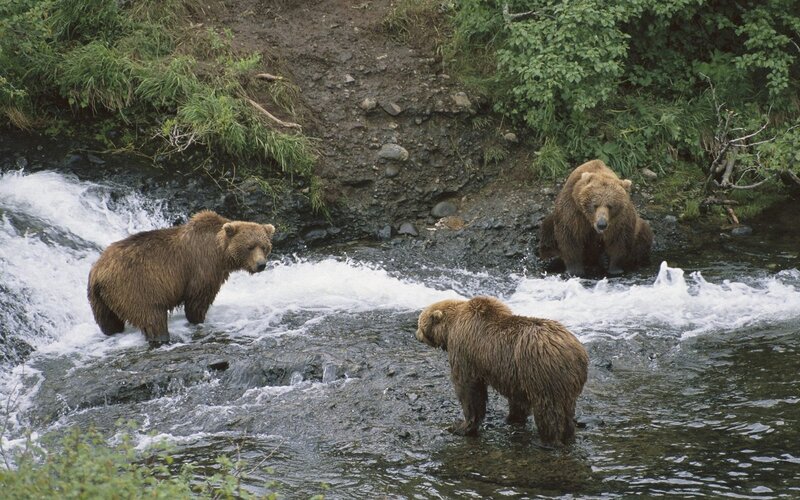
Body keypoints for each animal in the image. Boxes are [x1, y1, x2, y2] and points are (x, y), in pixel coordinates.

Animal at [87, 210, 275, 347]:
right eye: (250, 246)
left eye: (264, 246)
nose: (261, 264)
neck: (220, 253)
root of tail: (99, 272)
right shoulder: (202, 267)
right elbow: (197, 299)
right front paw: (198, 320)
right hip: (134, 286)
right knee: (152, 316)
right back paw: (161, 337)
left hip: (100, 299)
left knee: (109, 322)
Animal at [415, 296, 589, 447]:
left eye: (419, 323)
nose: (416, 335)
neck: (451, 327)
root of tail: (575, 351)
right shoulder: (516, 374)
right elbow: (518, 398)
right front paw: (513, 417)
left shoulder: (465, 351)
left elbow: (469, 389)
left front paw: (461, 426)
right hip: (565, 380)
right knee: (567, 409)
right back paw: (568, 436)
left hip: (541, 372)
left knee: (548, 410)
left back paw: (549, 441)